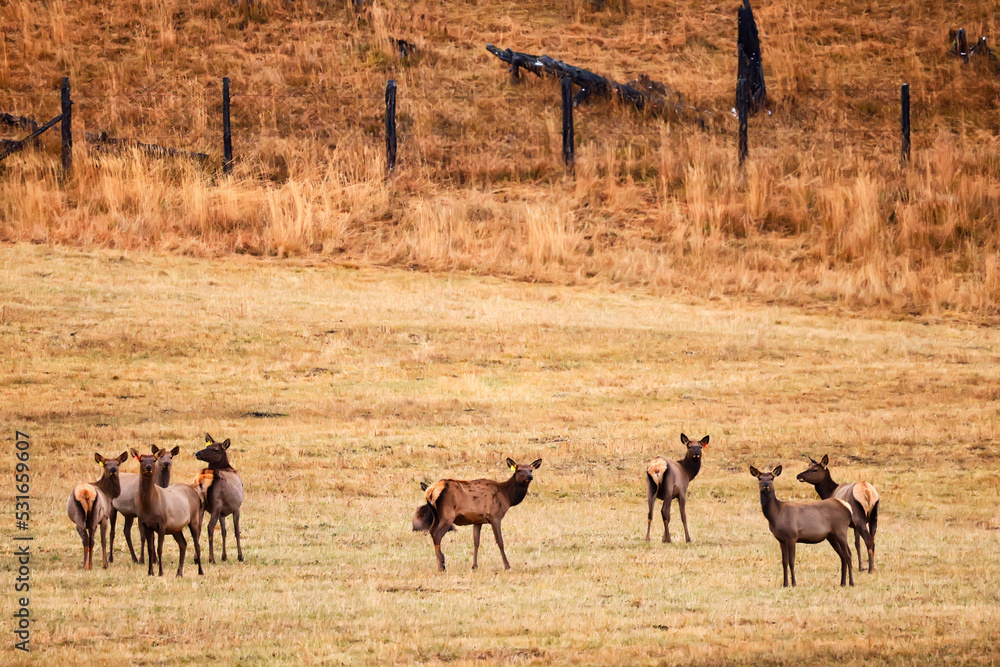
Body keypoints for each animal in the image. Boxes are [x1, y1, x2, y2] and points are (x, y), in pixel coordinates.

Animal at [130, 447, 204, 577]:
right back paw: (179, 573)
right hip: (176, 528)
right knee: (183, 544)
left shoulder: (162, 523)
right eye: (141, 460)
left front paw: (160, 572)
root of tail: (196, 493)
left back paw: (200, 571)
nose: (149, 467)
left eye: (154, 460)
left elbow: (159, 549)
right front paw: (150, 572)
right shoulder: (145, 524)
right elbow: (150, 549)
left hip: (194, 519)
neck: (148, 505)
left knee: (197, 544)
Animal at [195, 433, 245, 563]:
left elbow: (224, 531)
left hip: (201, 505)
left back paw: (196, 558)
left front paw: (224, 556)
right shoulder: (236, 507)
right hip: (216, 504)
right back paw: (211, 558)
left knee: (197, 527)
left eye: (215, 449)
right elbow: (237, 531)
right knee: (210, 527)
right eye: (207, 446)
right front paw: (240, 556)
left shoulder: (223, 512)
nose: (197, 453)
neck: (228, 467)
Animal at [412, 458, 542, 571]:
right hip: (447, 514)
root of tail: (430, 491)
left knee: (431, 531)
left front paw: (474, 566)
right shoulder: (495, 516)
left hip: (436, 515)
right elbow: (500, 541)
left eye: (531, 469)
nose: (530, 476)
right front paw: (507, 566)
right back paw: (441, 566)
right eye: (518, 470)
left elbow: (476, 542)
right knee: (437, 534)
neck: (507, 497)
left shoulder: (477, 520)